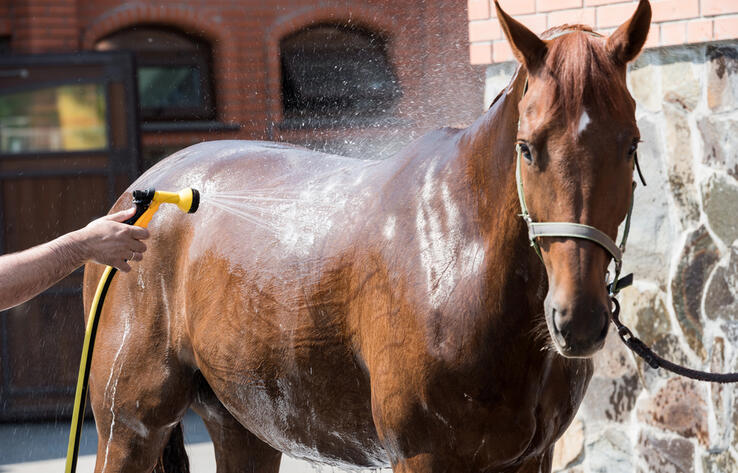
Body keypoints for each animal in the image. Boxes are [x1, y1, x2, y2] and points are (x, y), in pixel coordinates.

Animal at [83, 1, 648, 470]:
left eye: (630, 145)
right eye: (527, 148)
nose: (578, 319)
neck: (460, 261)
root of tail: (143, 194)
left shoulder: (531, 457)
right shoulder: (423, 456)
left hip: (243, 425)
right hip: (128, 427)